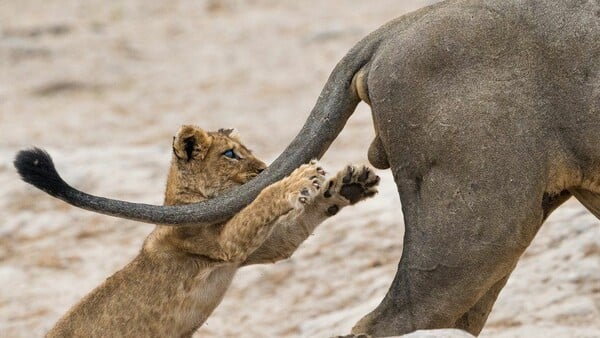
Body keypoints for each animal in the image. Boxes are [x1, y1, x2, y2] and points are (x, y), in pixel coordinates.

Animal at [14, 1, 600, 336]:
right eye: (230, 154)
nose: (260, 166)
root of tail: (393, 28)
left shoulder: (246, 244)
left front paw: (341, 185)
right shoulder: (220, 242)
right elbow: (258, 213)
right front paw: (300, 181)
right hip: (481, 218)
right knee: (396, 319)